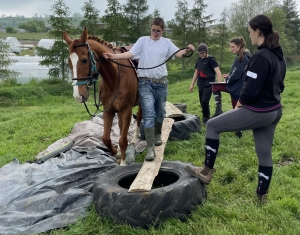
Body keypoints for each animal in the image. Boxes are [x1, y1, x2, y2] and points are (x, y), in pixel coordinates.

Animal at [63, 27, 142, 166]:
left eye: (84, 60)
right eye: (69, 62)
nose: (78, 95)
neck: (115, 79)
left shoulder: (126, 110)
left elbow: (123, 140)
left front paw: (123, 162)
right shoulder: (109, 110)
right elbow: (105, 138)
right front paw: (116, 153)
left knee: (139, 118)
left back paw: (135, 139)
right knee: (121, 125)